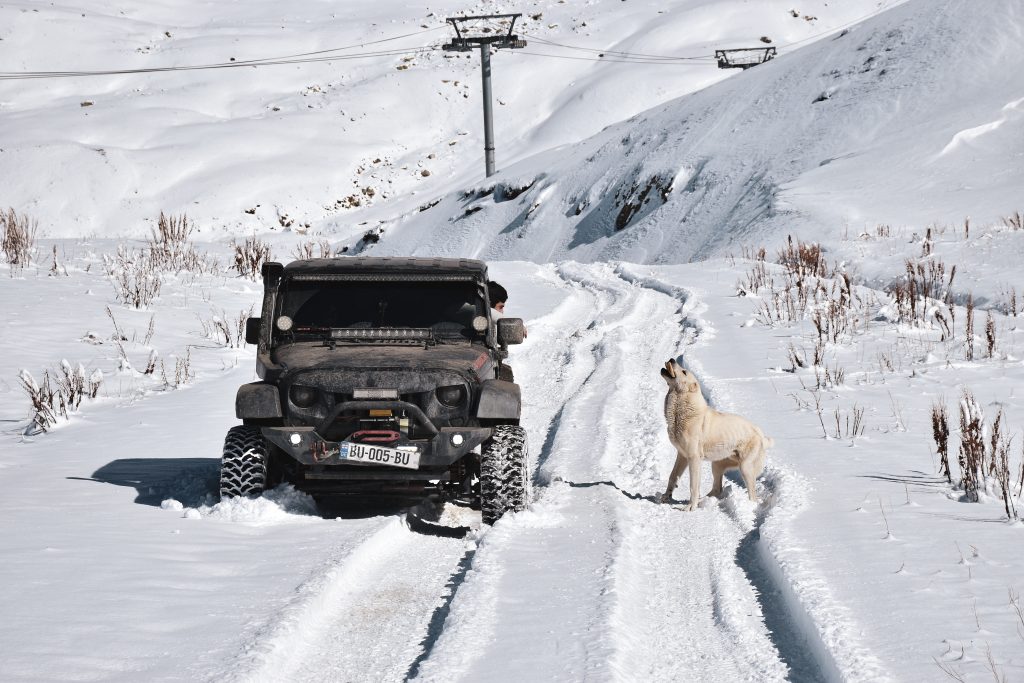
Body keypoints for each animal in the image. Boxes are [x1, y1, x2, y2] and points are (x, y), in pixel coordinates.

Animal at [659, 360, 770, 509]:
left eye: (684, 372)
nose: (672, 359)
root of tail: (760, 433)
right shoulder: (682, 456)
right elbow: (672, 476)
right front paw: (666, 497)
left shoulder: (694, 458)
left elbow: (693, 485)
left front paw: (690, 507)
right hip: (717, 465)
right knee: (717, 489)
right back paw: (704, 500)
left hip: (745, 468)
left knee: (752, 496)